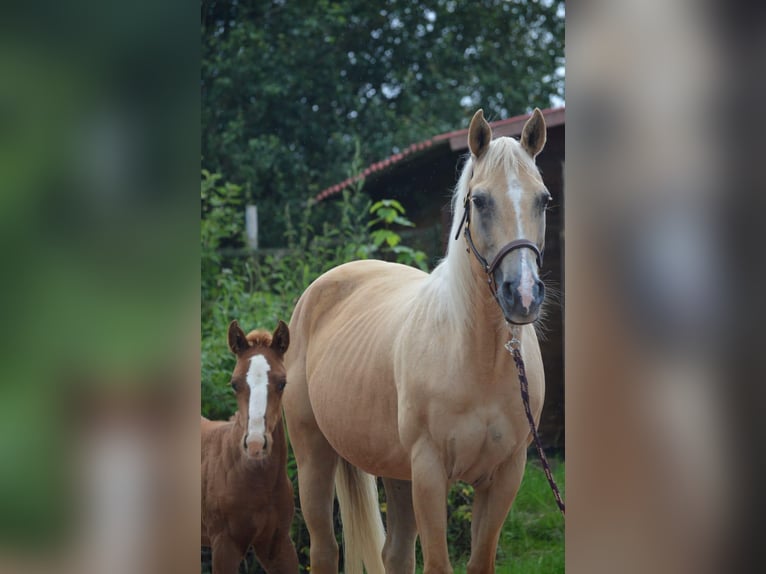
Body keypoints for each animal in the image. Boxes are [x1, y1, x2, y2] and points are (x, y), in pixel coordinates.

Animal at [284, 109, 548, 574]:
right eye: (479, 201)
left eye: (544, 200)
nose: (523, 295)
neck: (478, 358)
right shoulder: (429, 471)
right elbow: (438, 564)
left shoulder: (505, 474)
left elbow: (479, 562)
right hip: (314, 455)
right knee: (324, 548)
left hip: (395, 471)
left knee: (395, 552)